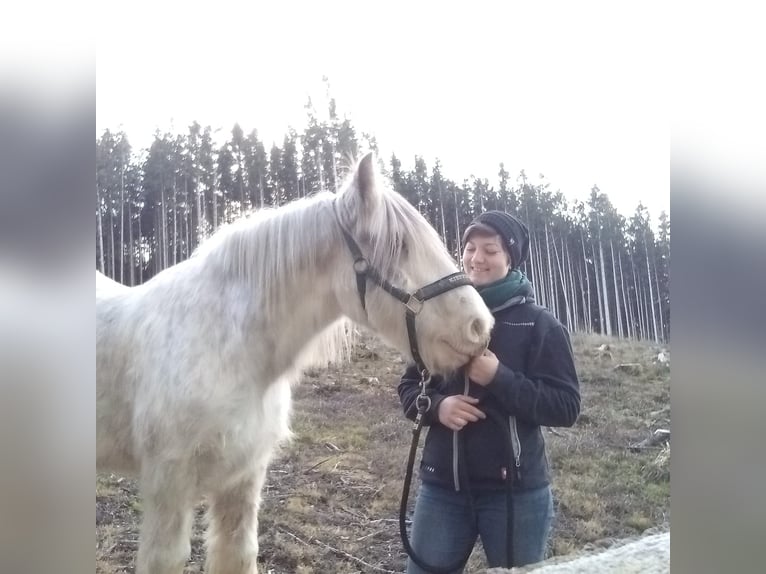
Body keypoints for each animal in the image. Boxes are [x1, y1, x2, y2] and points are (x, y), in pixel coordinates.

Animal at [96, 153, 496, 574]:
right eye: (400, 244)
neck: (226, 344)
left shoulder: (244, 477)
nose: (479, 327)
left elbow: (238, 553)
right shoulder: (168, 482)